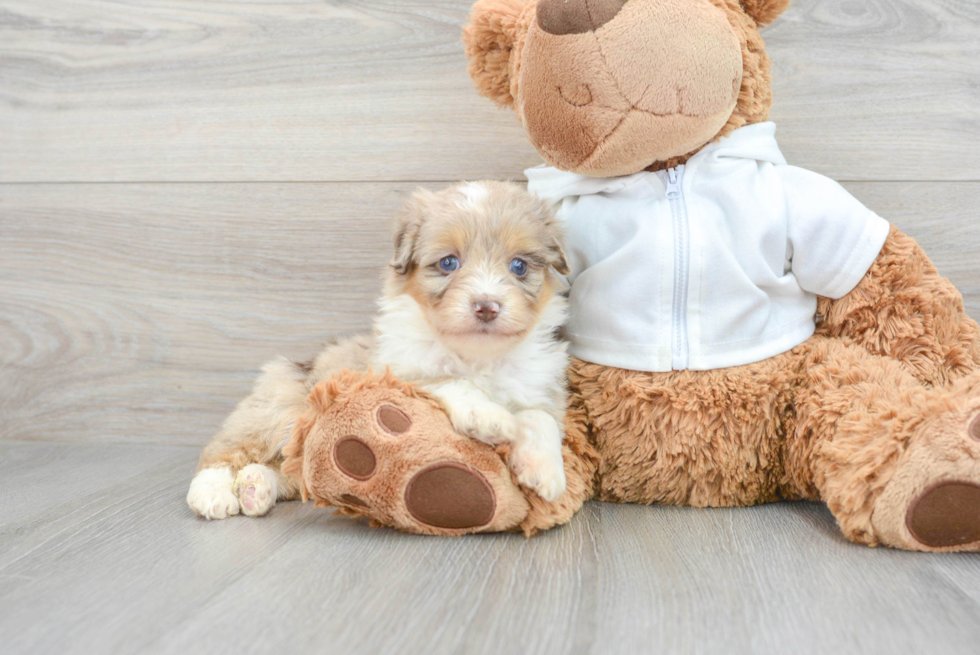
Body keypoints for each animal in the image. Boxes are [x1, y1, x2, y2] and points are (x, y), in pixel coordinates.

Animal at [188, 182, 572, 520]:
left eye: (519, 266)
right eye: (448, 263)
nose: (487, 307)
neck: (477, 354)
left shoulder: (538, 385)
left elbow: (541, 417)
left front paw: (546, 472)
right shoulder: (396, 376)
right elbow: (451, 381)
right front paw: (489, 417)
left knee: (288, 472)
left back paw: (256, 488)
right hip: (277, 411)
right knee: (221, 453)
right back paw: (213, 494)